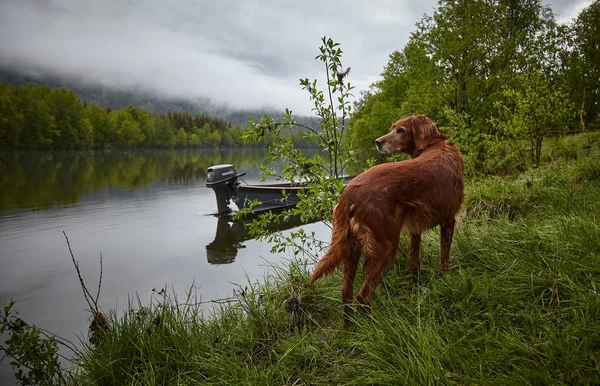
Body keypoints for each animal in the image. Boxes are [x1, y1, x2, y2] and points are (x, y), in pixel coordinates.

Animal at [310, 114, 464, 314]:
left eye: (401, 130)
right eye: (393, 128)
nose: (377, 142)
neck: (435, 145)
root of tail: (349, 191)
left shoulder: (415, 230)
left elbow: (414, 260)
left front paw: (415, 284)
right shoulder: (448, 220)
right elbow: (444, 257)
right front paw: (443, 279)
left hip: (351, 248)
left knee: (346, 293)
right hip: (386, 247)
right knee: (363, 296)